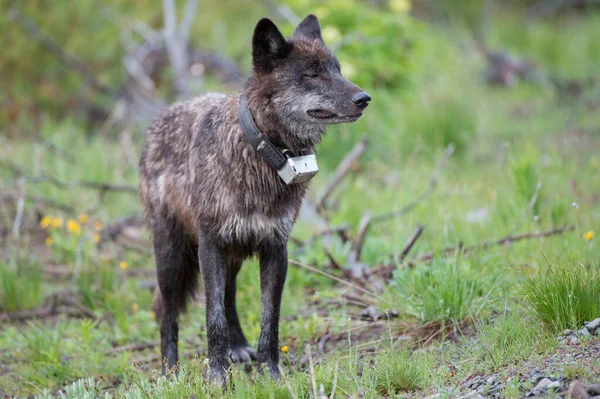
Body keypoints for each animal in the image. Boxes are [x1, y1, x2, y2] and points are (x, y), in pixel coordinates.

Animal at [139, 13, 370, 384]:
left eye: (337, 69)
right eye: (312, 74)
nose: (364, 98)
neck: (263, 152)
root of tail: (159, 119)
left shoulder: (275, 249)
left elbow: (268, 319)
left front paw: (270, 373)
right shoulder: (211, 247)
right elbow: (213, 317)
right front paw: (217, 376)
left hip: (231, 254)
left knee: (229, 295)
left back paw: (238, 347)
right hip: (172, 256)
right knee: (168, 313)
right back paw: (169, 370)